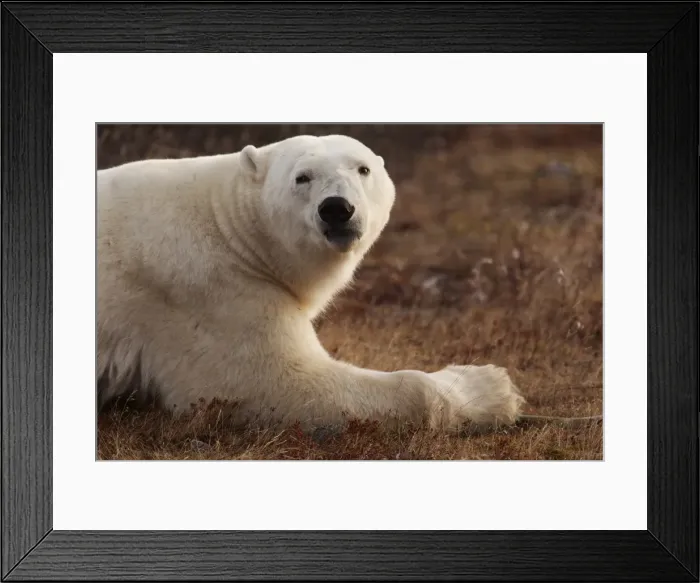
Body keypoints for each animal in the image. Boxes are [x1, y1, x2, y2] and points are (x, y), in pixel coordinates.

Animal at [97, 134, 525, 433]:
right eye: (302, 177)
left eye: (363, 169)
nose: (337, 208)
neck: (229, 227)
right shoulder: (207, 292)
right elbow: (275, 384)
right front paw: (493, 385)